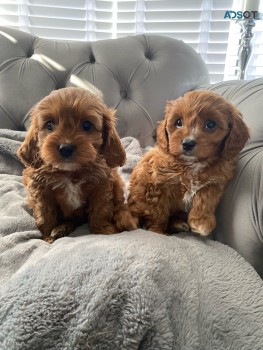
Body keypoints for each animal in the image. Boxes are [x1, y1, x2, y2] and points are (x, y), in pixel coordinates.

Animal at [17, 86, 137, 242]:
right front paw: (48, 236)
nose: (65, 148)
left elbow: (101, 209)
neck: (71, 171)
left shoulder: (102, 185)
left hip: (116, 182)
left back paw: (126, 220)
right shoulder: (41, 189)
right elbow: (45, 213)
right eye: (49, 124)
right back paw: (61, 228)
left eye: (86, 125)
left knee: (120, 205)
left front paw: (104, 231)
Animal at [129, 90, 251, 235]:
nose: (187, 143)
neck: (192, 165)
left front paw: (201, 222)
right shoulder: (157, 185)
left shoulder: (215, 182)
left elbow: (206, 199)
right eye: (178, 122)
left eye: (211, 124)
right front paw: (157, 231)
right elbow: (159, 212)